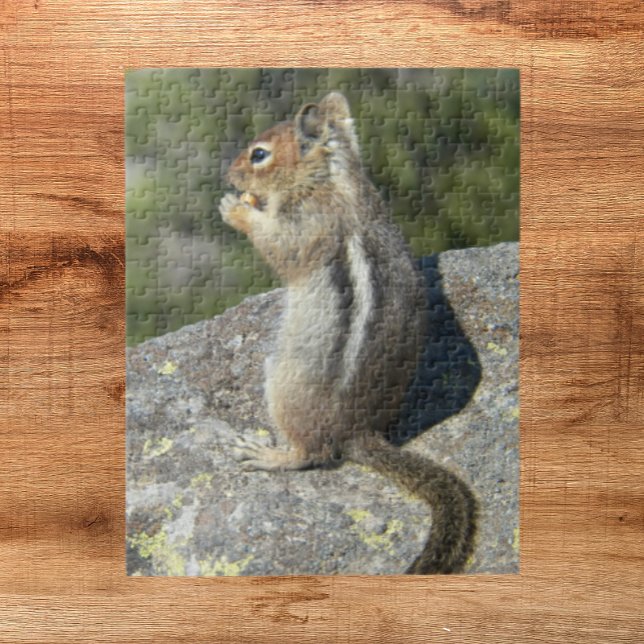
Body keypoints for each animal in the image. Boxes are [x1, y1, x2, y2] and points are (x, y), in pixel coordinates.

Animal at [219, 92, 477, 574]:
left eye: (258, 154)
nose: (229, 174)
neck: (334, 178)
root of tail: (359, 431)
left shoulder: (305, 223)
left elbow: (279, 247)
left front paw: (237, 207)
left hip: (282, 387)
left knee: (311, 455)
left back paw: (267, 454)